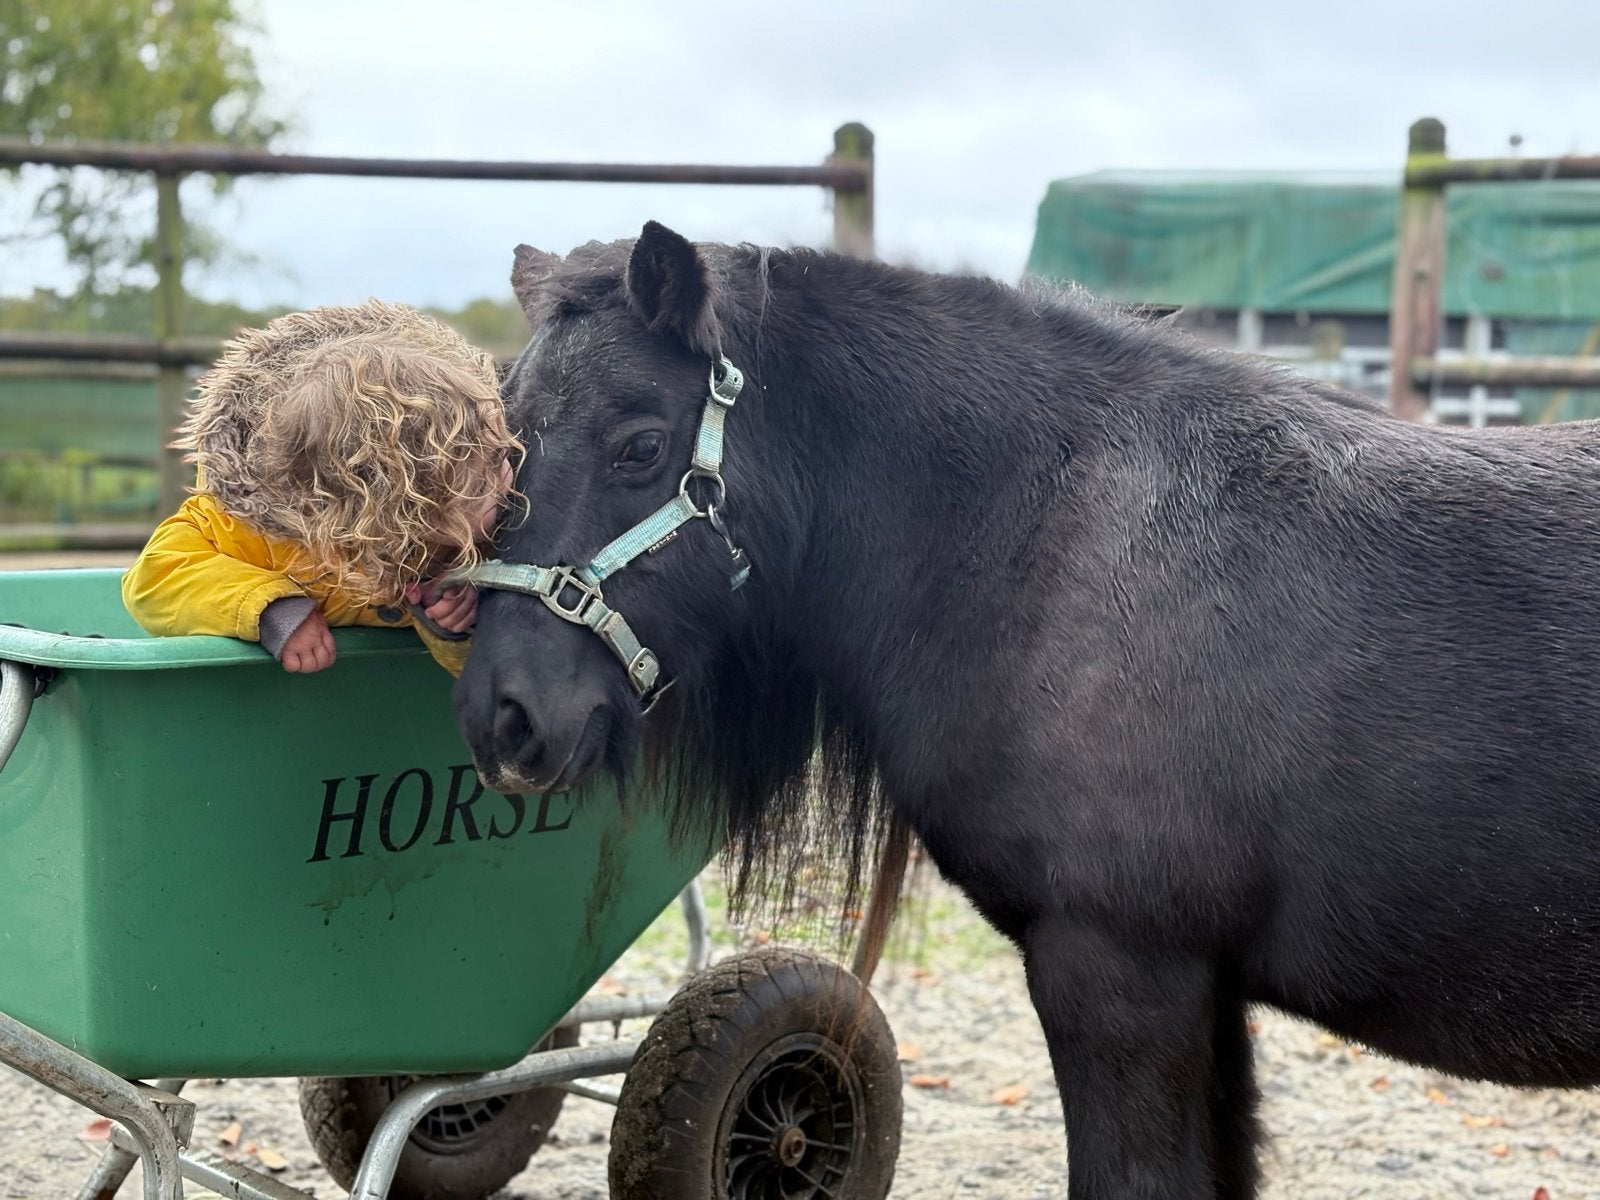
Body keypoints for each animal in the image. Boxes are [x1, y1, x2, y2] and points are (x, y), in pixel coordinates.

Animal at [451, 220, 1600, 1198]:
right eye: (510, 440)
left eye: (641, 446)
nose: (502, 716)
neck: (1056, 532)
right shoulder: (1205, 991)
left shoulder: (1120, 973)